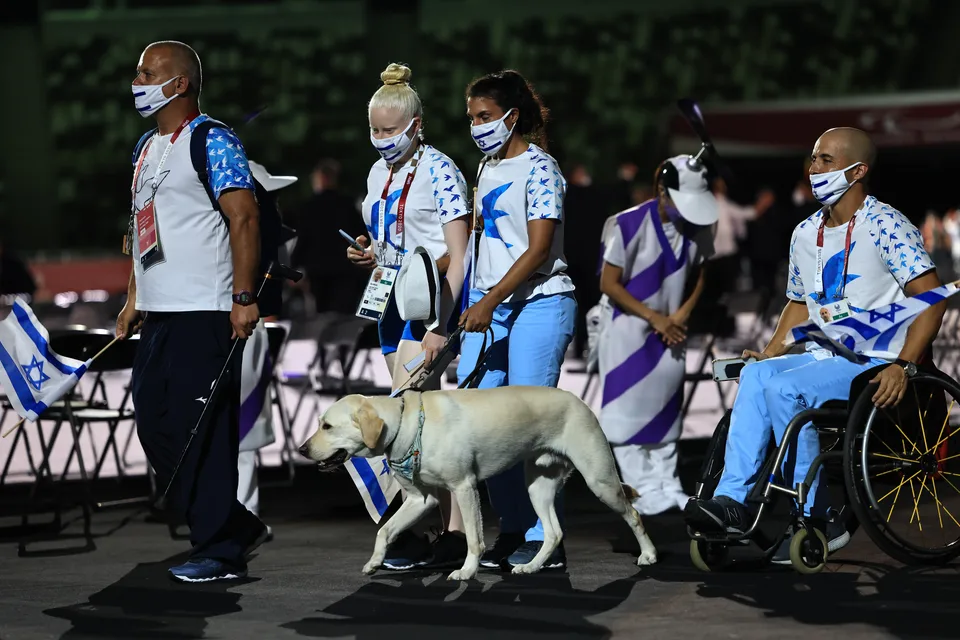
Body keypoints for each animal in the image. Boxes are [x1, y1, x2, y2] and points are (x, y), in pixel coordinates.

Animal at [300, 384, 660, 580]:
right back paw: (531, 567)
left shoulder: (464, 487)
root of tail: (580, 401)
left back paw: (648, 555)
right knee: (554, 532)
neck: (407, 423)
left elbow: (474, 539)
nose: (302, 449)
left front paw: (468, 571)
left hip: (601, 482)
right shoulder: (421, 501)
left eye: (327, 426)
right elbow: (384, 530)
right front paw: (375, 562)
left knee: (634, 514)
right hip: (538, 488)